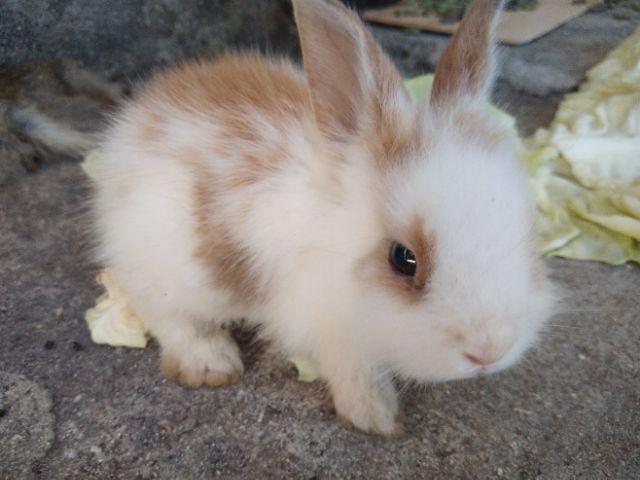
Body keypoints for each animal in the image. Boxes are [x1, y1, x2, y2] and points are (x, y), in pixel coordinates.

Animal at [90, 0, 556, 436]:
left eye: (527, 229)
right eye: (403, 259)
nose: (489, 351)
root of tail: (131, 128)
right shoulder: (329, 327)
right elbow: (355, 372)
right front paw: (376, 418)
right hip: (164, 270)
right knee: (161, 310)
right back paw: (210, 363)